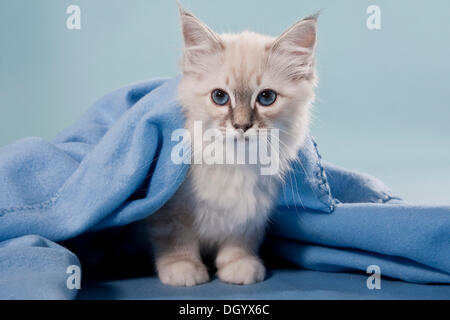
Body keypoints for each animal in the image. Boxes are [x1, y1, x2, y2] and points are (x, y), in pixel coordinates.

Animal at [146, 8, 318, 286]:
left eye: (266, 98)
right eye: (220, 97)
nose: (242, 126)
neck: (235, 161)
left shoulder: (250, 212)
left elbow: (238, 243)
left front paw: (239, 267)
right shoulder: (171, 209)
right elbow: (177, 240)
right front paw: (184, 269)